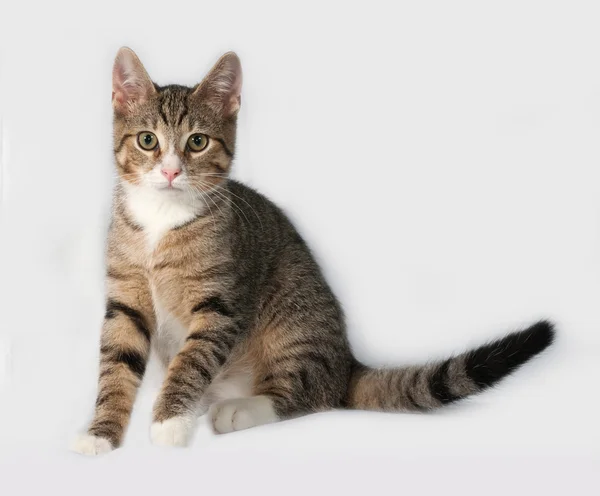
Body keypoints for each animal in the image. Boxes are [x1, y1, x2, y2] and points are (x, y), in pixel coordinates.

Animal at [72, 48, 556, 456]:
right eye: (147, 140)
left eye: (197, 142)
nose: (171, 172)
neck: (161, 221)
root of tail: (346, 362)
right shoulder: (125, 300)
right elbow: (116, 365)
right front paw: (101, 433)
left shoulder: (220, 304)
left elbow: (192, 360)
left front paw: (170, 421)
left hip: (293, 319)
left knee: (307, 392)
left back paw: (239, 409)